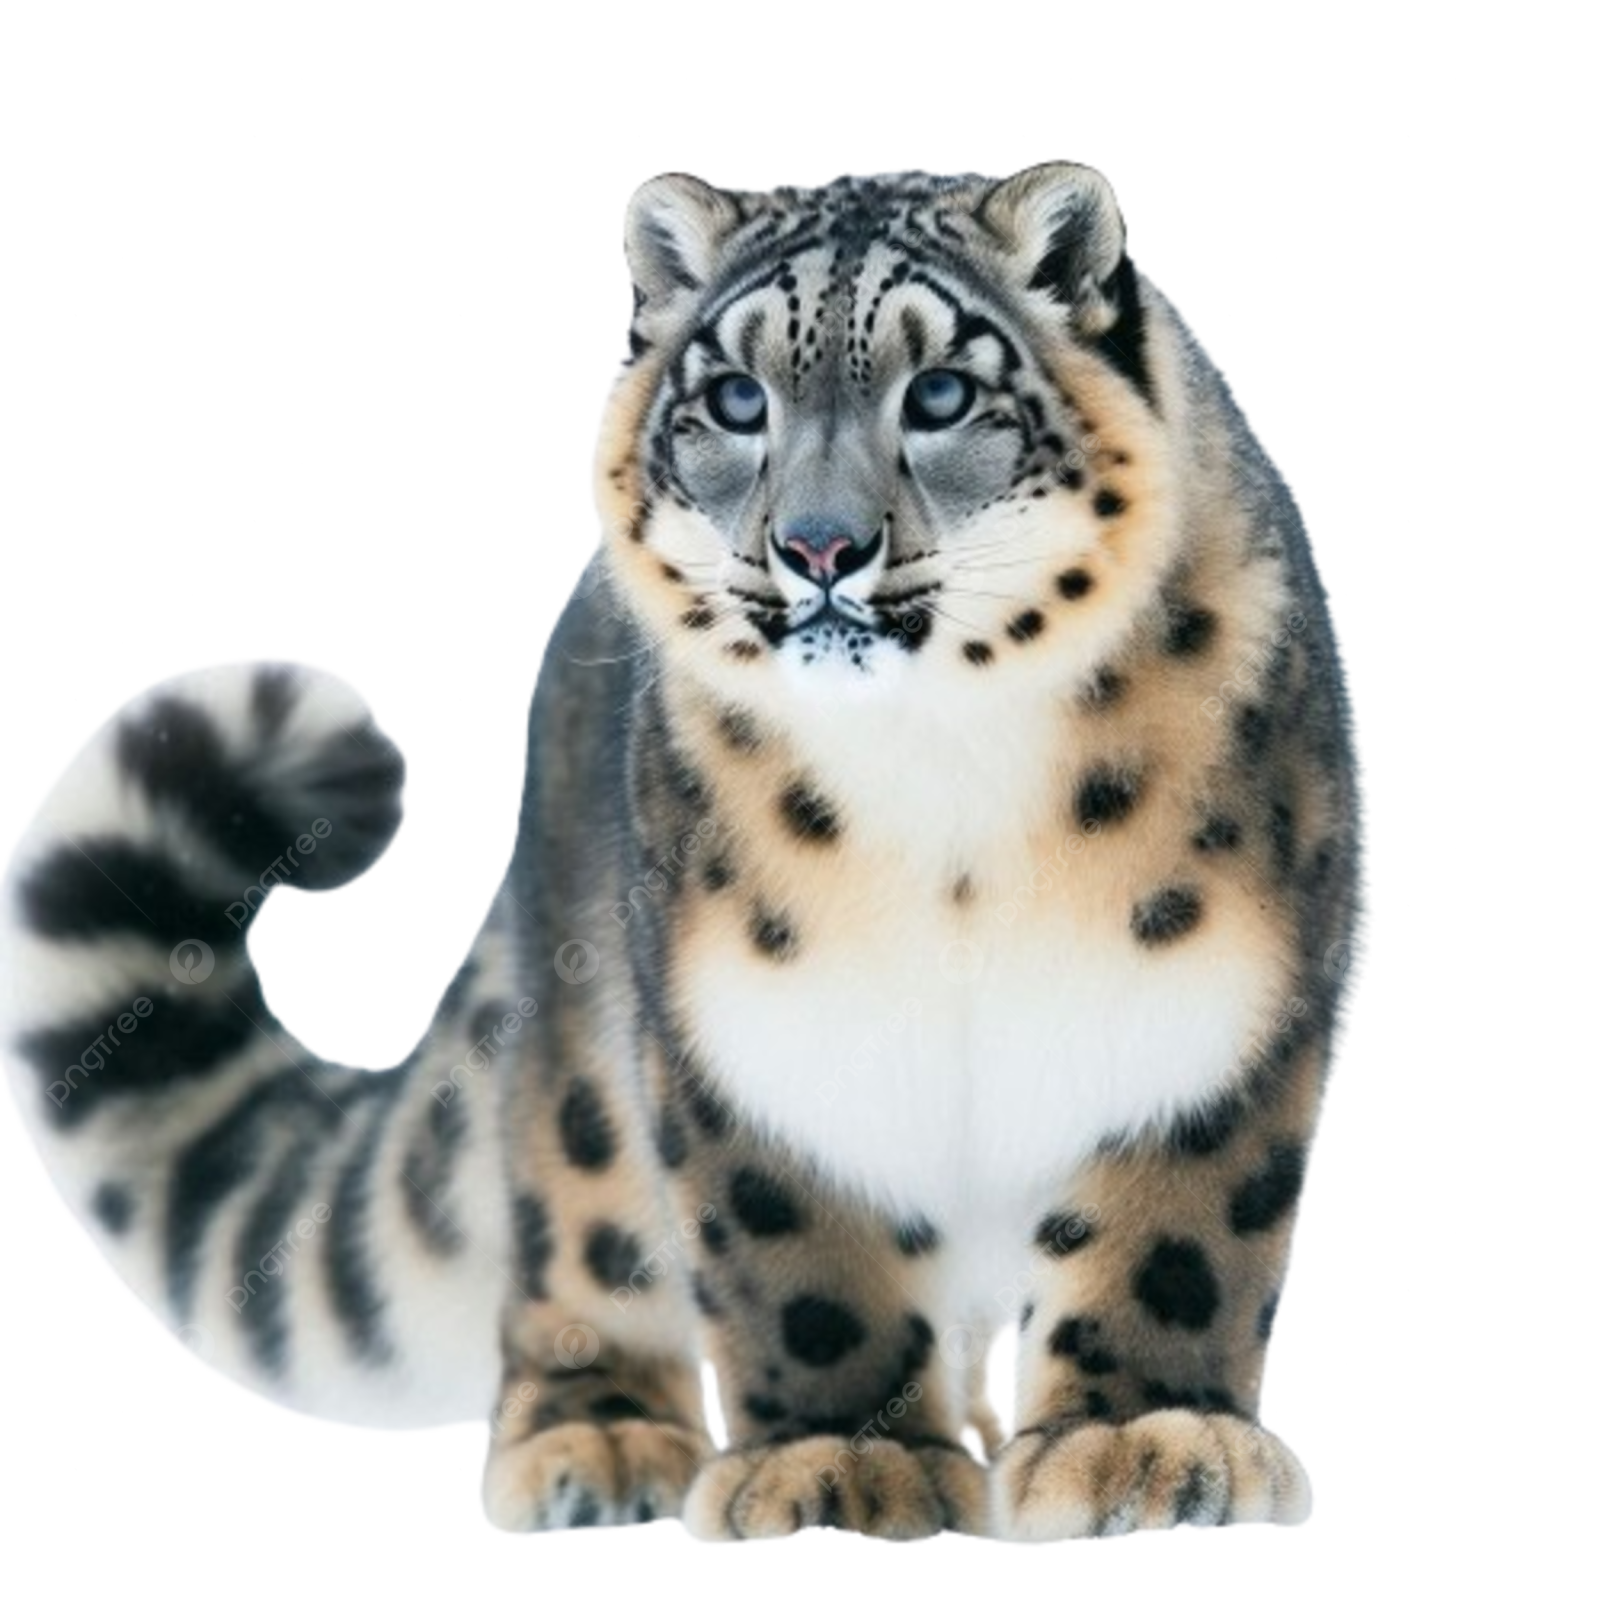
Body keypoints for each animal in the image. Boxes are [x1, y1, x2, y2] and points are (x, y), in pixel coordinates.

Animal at [0, 160, 1371, 1546]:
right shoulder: (747, 1014)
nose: (818, 546)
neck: (943, 766)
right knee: (578, 1221)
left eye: (939, 393)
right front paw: (837, 1461)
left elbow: (1181, 1216)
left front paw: (1147, 1441)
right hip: (581, 1055)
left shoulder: (1220, 994)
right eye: (735, 397)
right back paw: (596, 1442)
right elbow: (791, 1232)